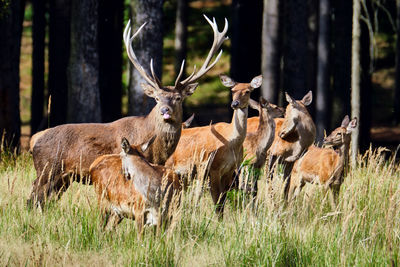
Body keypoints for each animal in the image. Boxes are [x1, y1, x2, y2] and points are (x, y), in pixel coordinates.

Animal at [28, 15, 228, 207]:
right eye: (156, 98)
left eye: (178, 98)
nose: (165, 110)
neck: (156, 149)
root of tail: (33, 142)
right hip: (46, 170)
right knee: (33, 198)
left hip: (63, 179)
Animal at [166, 74, 262, 217]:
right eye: (232, 90)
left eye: (247, 91)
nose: (235, 104)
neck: (231, 142)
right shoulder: (214, 168)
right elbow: (217, 199)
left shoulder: (230, 169)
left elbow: (223, 198)